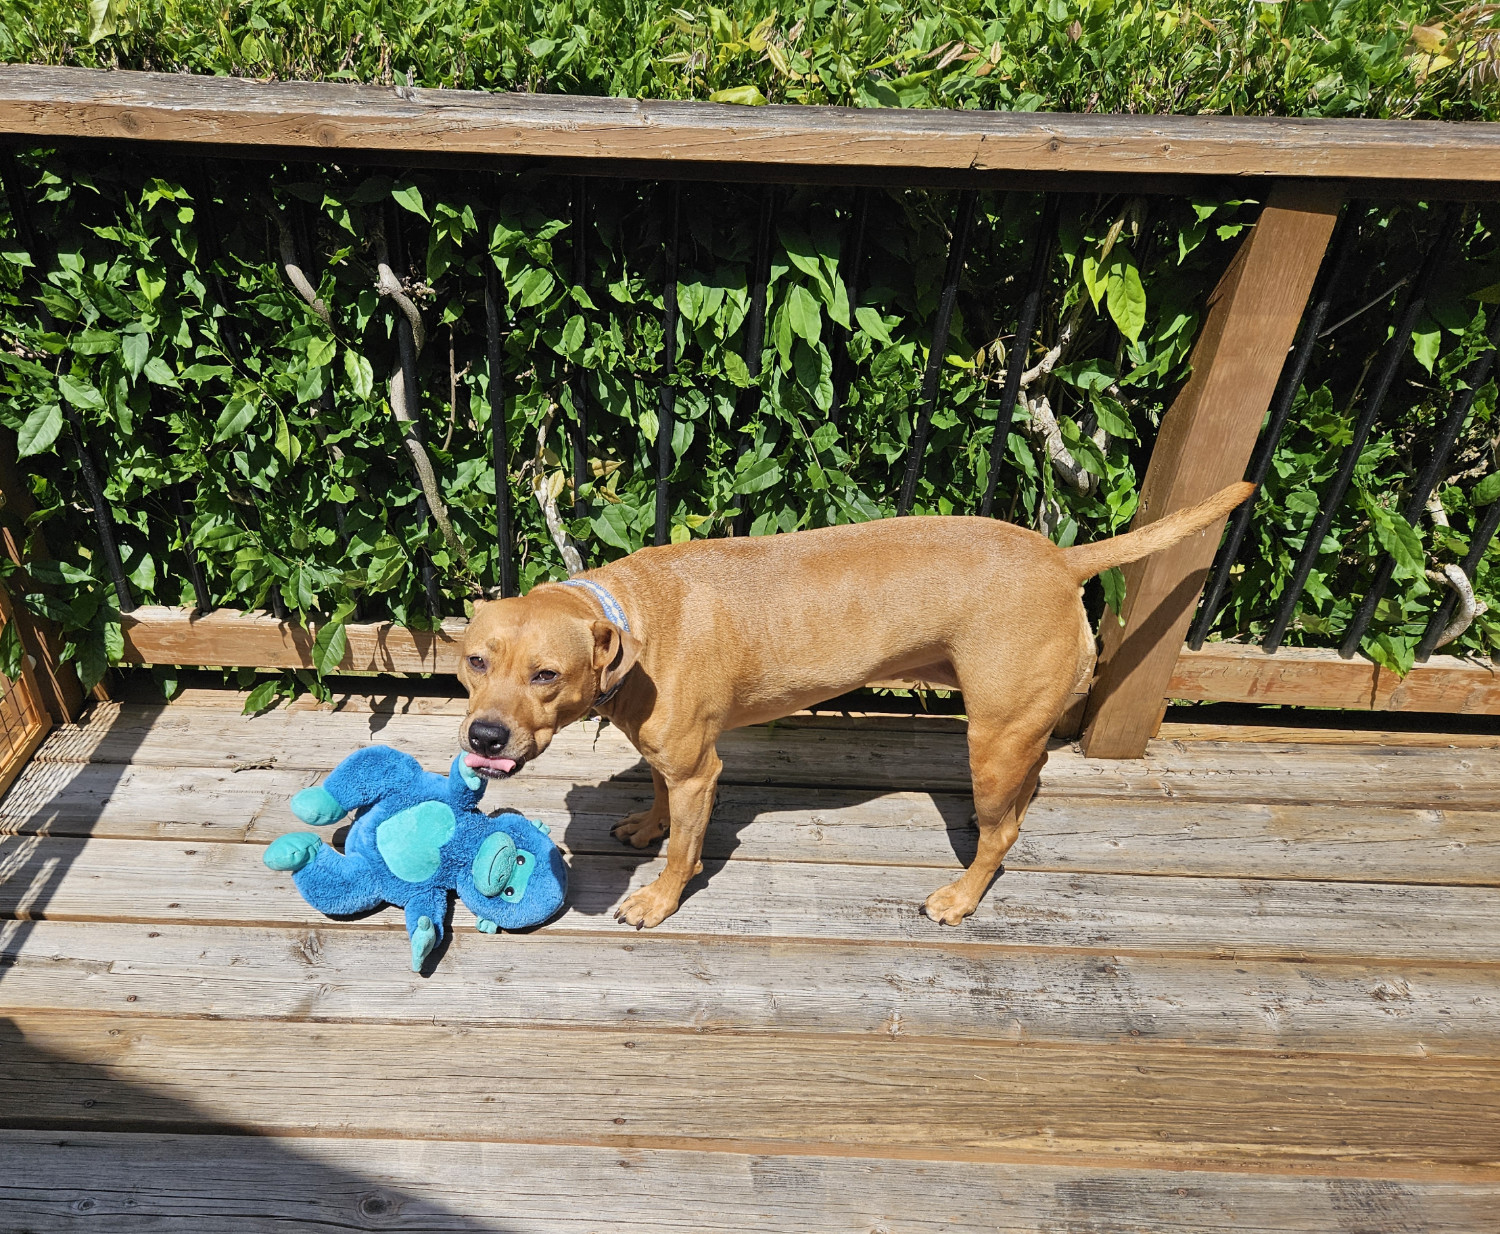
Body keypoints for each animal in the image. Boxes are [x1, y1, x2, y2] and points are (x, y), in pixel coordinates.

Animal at [459, 482, 1254, 923]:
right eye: (474, 661)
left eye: (546, 675)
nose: (485, 738)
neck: (631, 618)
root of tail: (1062, 557)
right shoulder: (669, 757)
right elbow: (658, 799)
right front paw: (647, 825)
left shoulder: (698, 771)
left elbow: (686, 849)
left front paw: (659, 897)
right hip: (1014, 730)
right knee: (1022, 796)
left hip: (992, 737)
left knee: (1003, 835)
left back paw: (962, 895)